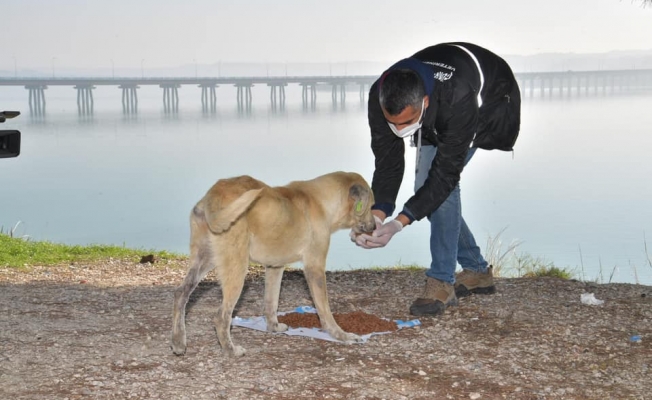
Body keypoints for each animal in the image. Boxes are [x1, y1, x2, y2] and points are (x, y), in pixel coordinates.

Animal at [172, 171, 376, 356]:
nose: (374, 227)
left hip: (204, 259)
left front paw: (273, 327)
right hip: (236, 268)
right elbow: (324, 309)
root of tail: (214, 193)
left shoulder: (275, 267)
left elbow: (271, 301)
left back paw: (178, 342)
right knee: (221, 316)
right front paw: (342, 335)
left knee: (181, 294)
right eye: (371, 205)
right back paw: (230, 350)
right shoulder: (314, 266)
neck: (321, 201)